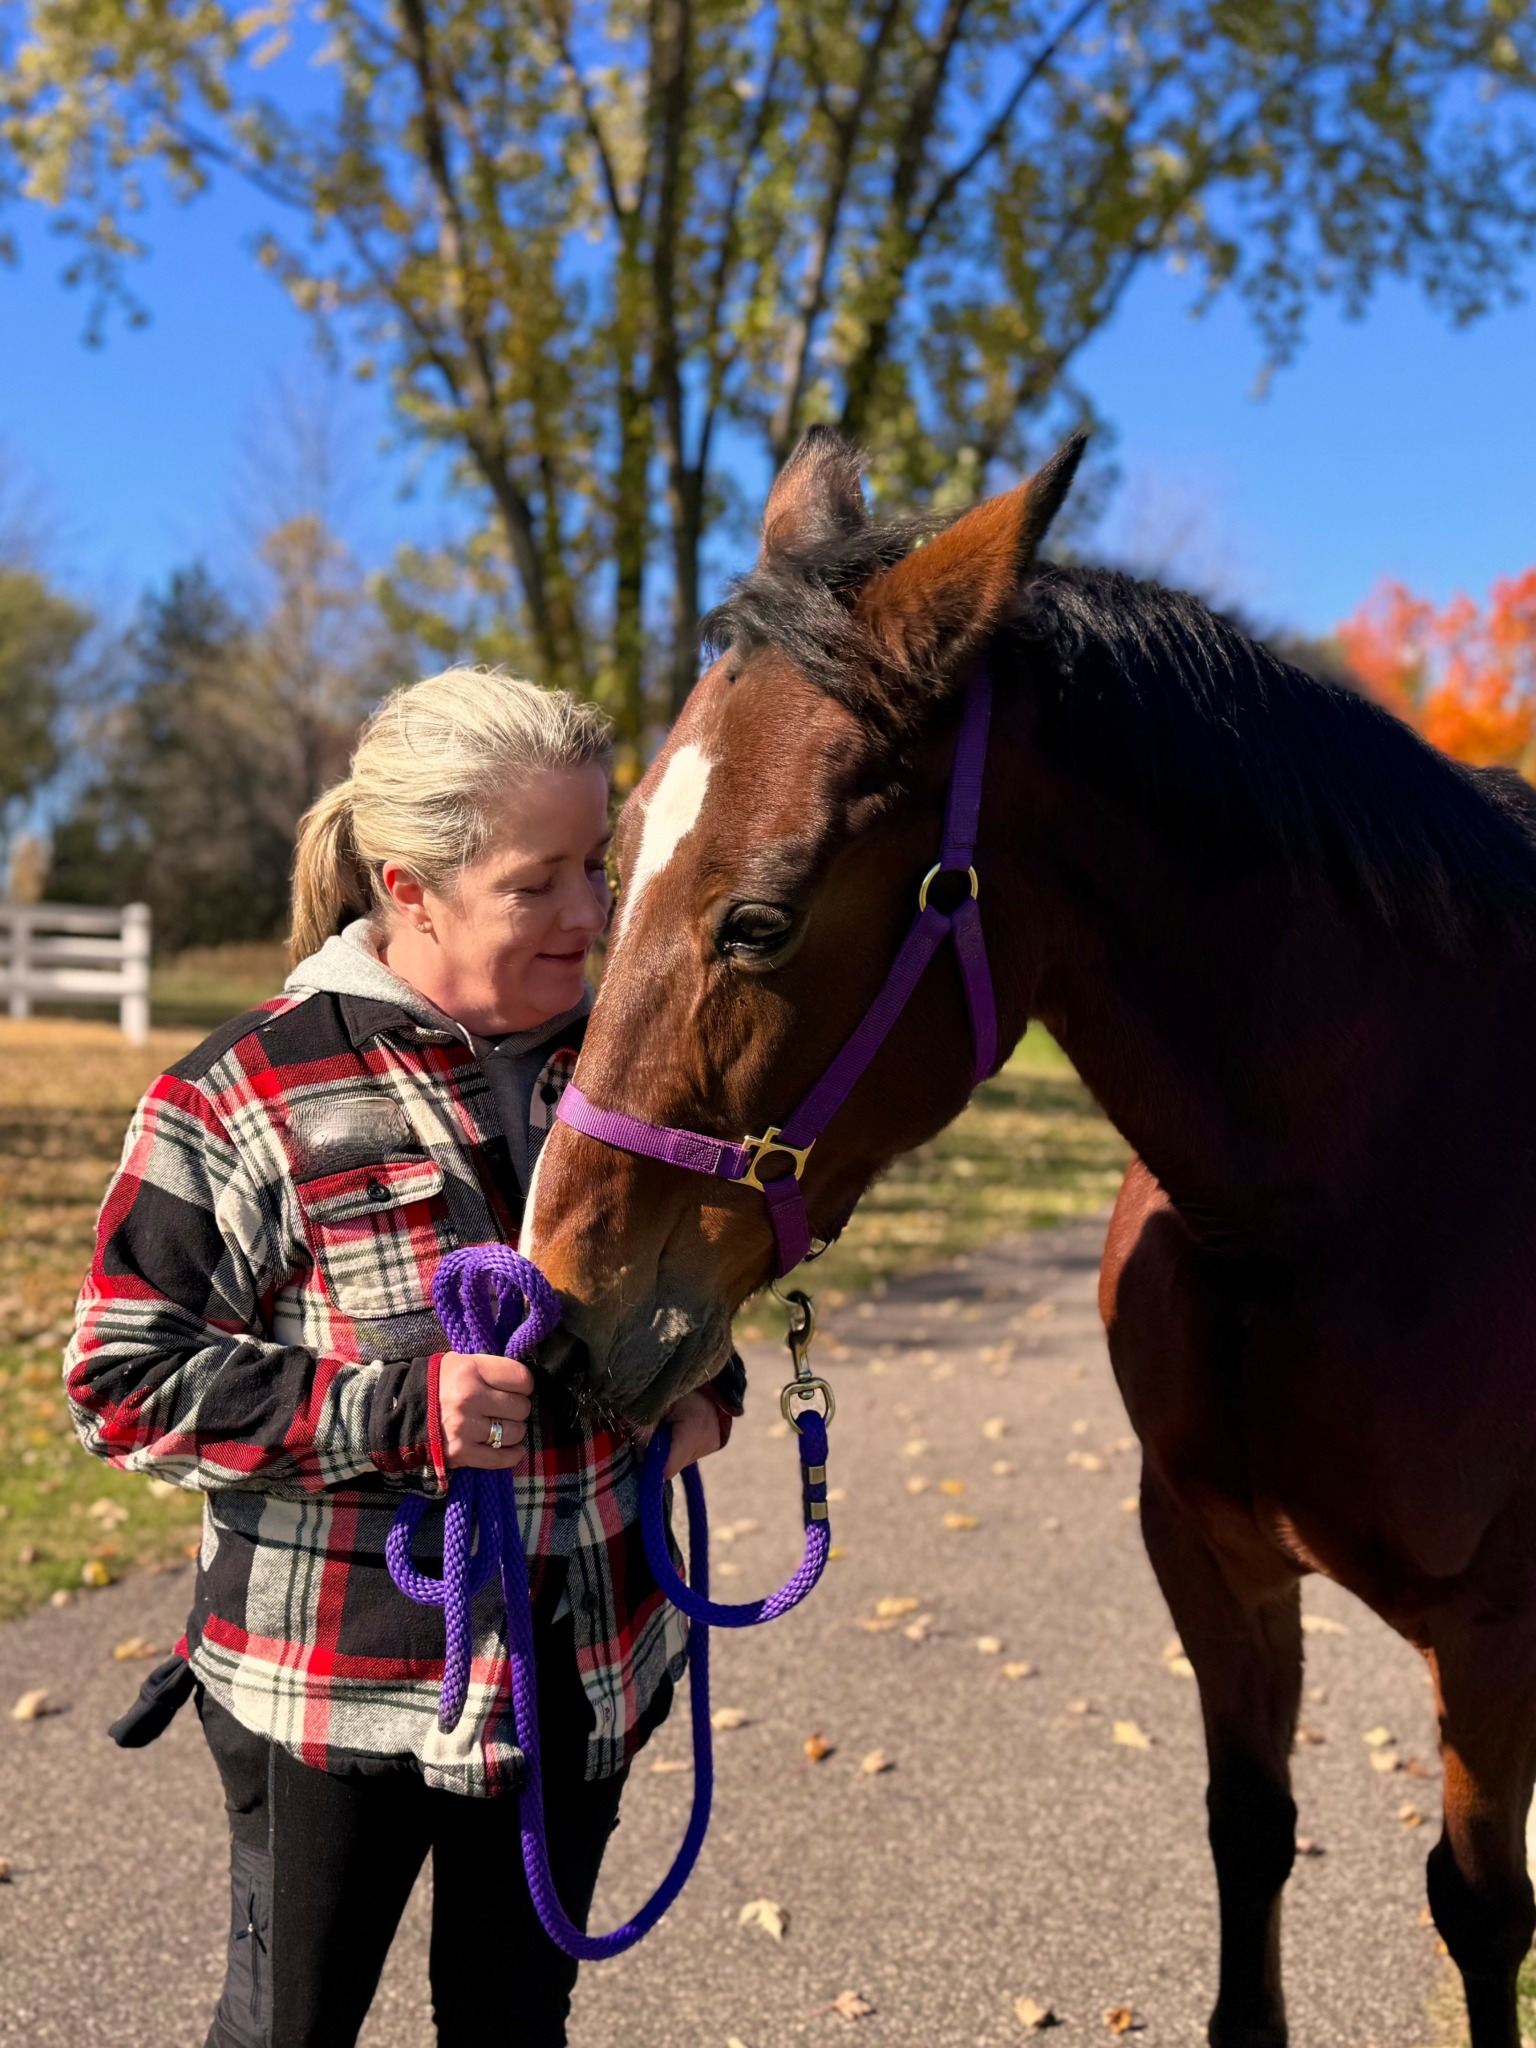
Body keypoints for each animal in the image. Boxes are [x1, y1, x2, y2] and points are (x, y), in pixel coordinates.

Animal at [526, 426, 1536, 2048]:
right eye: (610, 863)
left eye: (760, 920)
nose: (556, 1308)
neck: (1347, 1202)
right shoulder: (1212, 1558)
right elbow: (1250, 1832)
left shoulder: (1496, 1629)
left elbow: (1483, 1909)